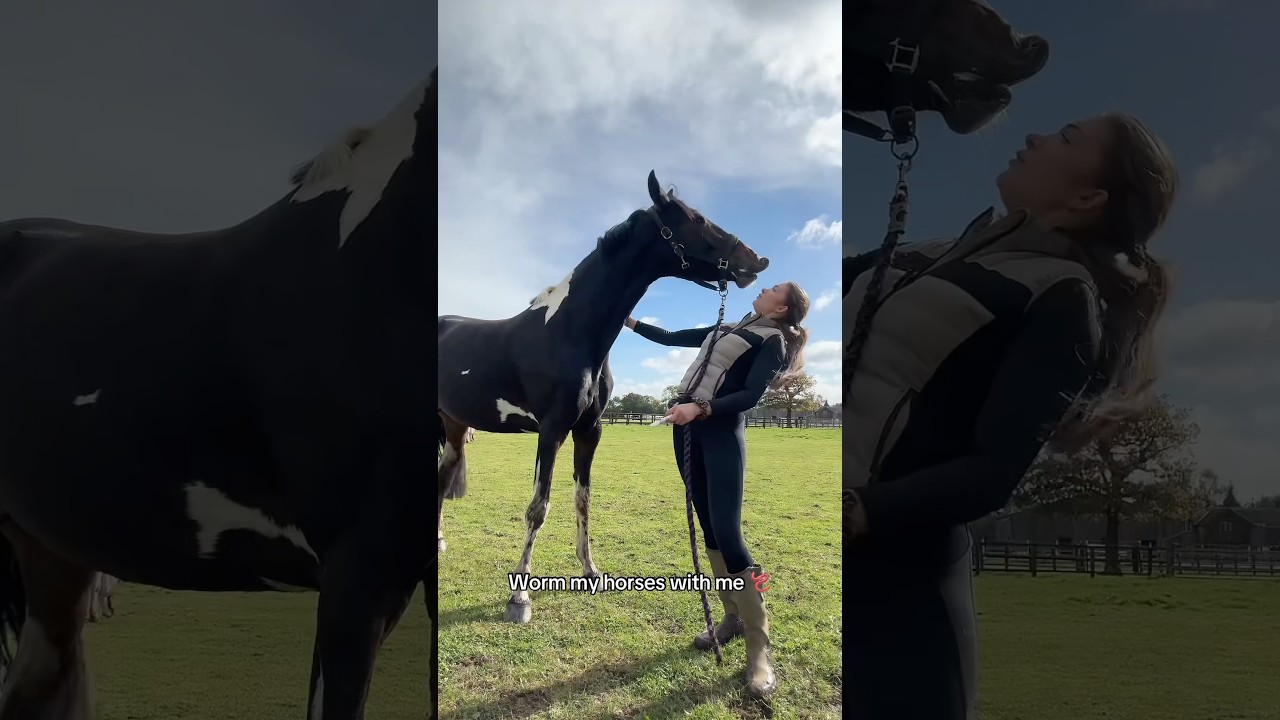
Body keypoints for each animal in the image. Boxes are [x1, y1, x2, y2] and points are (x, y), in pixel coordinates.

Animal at [437, 171, 769, 624]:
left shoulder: (589, 431)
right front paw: (519, 598)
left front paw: (591, 571)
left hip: (454, 427)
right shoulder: (552, 431)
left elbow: (583, 499)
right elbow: (538, 508)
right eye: (696, 218)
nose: (755, 260)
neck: (570, 332)